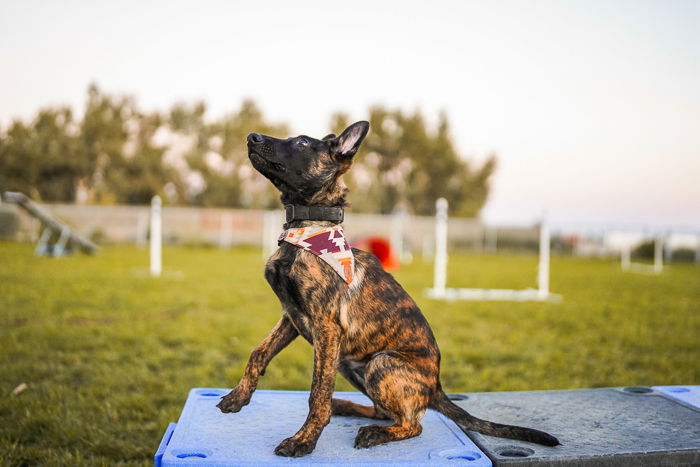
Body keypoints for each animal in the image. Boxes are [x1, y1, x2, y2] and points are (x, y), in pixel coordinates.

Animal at [216, 120, 560, 458]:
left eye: (301, 143)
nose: (251, 137)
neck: (307, 229)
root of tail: (436, 387)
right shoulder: (291, 315)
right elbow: (259, 352)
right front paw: (238, 397)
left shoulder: (326, 326)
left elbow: (318, 393)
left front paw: (303, 440)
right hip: (350, 364)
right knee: (384, 411)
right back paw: (347, 406)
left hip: (381, 363)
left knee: (413, 423)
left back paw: (375, 432)